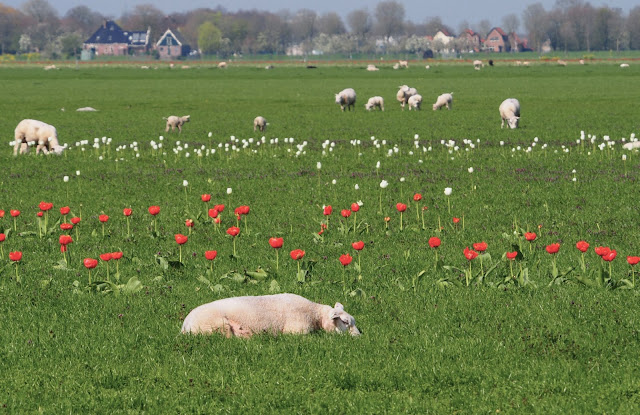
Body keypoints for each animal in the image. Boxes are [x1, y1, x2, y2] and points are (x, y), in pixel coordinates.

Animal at [181, 292, 360, 338]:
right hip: (217, 326)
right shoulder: (296, 331)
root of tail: (184, 326)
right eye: (345, 322)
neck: (314, 314)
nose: (359, 336)